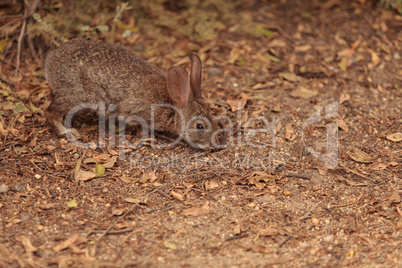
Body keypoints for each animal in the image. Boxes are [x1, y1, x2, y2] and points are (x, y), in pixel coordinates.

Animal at [45, 38, 225, 149]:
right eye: (200, 126)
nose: (215, 143)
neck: (171, 107)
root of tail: (50, 59)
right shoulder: (139, 112)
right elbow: (140, 128)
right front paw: (150, 138)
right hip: (73, 95)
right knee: (50, 112)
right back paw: (67, 132)